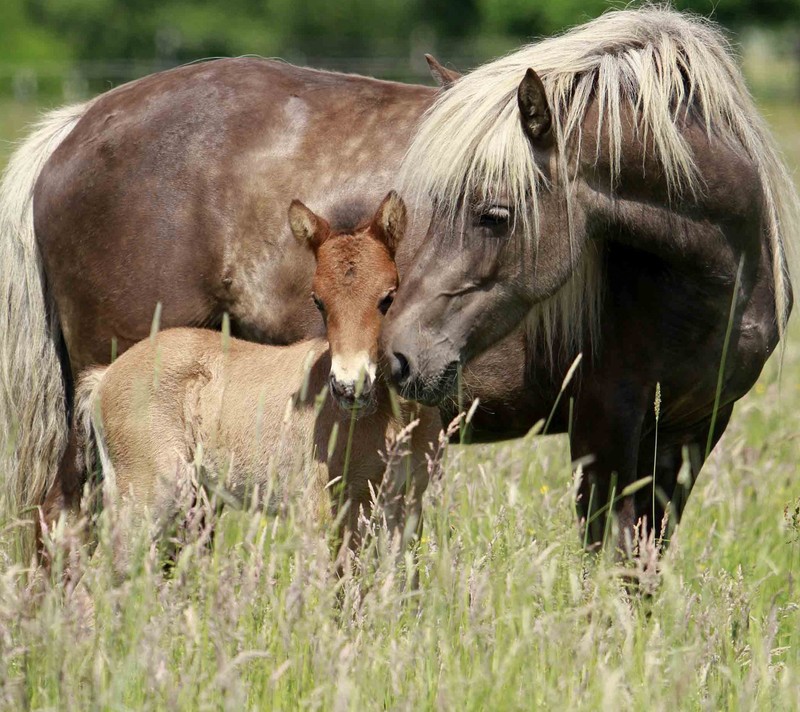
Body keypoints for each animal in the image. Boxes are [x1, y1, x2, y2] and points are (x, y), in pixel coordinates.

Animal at [43, 193, 438, 568]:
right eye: (319, 301)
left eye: (387, 297)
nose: (348, 387)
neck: (392, 418)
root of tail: (105, 375)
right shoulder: (320, 509)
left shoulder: (404, 508)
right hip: (148, 493)